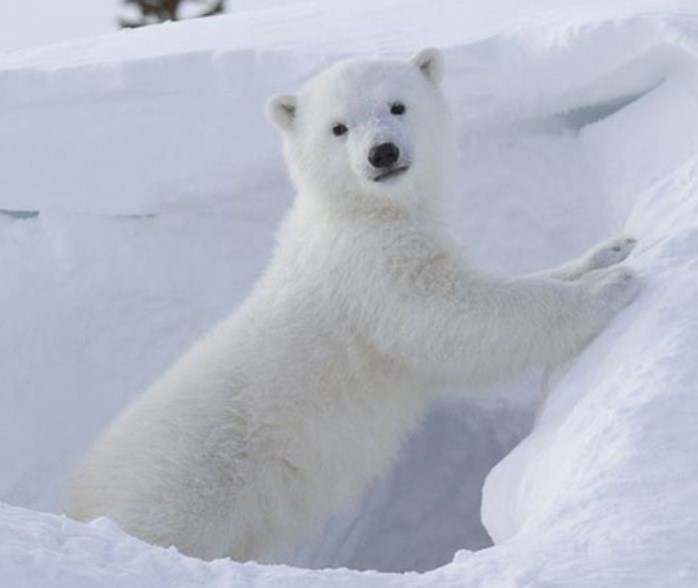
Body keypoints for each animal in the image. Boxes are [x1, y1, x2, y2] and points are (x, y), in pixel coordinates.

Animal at [68, 49, 640, 560]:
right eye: (338, 128)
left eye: (397, 105)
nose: (381, 153)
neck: (359, 213)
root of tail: (79, 498)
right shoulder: (370, 274)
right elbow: (454, 319)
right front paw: (612, 285)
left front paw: (608, 250)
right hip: (181, 487)